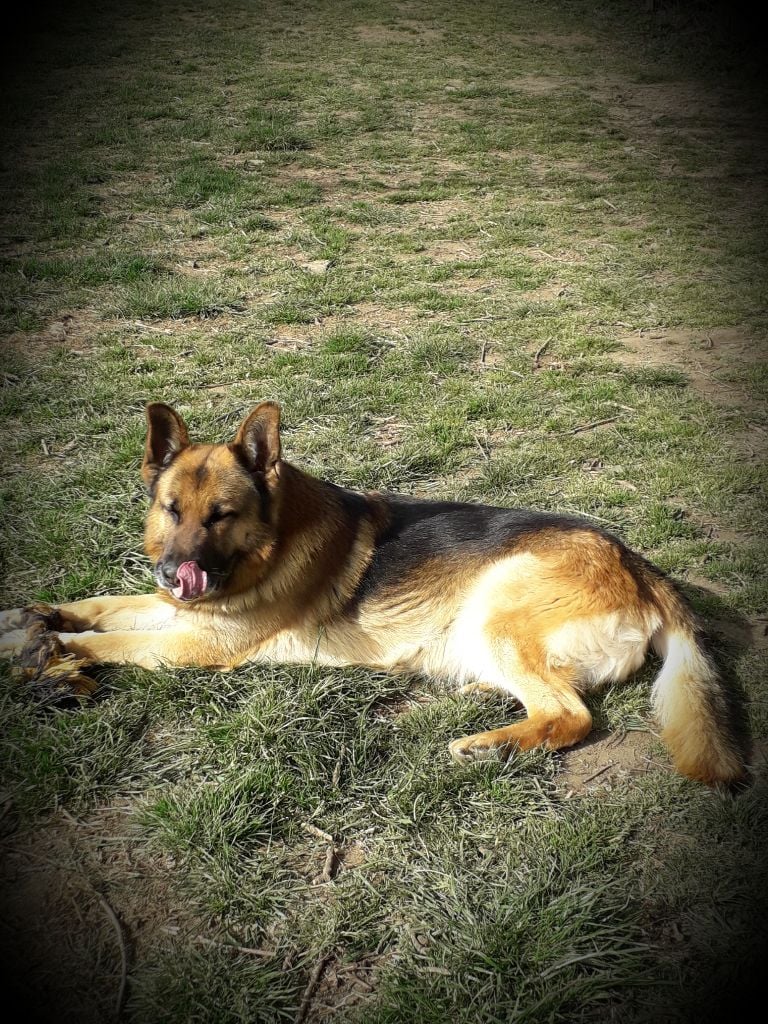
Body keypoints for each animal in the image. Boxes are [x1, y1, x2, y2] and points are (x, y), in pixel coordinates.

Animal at [0, 401, 748, 785]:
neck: (272, 538)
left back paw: (492, 746)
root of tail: (641, 567)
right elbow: (108, 605)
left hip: (497, 609)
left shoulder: (195, 642)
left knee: (572, 715)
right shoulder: (175, 611)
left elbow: (116, 638)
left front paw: (55, 646)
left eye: (221, 516)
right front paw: (40, 616)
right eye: (171, 509)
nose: (174, 571)